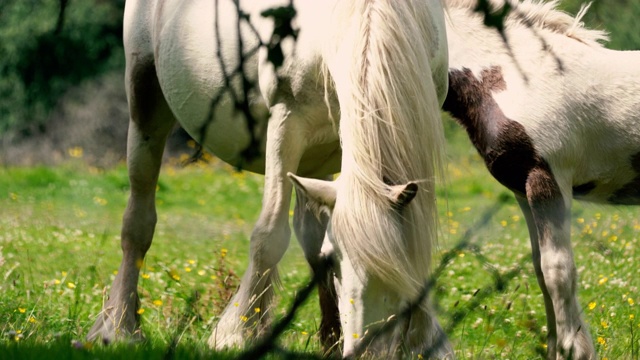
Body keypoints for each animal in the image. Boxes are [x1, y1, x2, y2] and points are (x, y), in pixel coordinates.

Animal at [87, 0, 452, 358]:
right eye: (335, 259)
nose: (365, 351)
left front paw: (425, 341)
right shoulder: (286, 122)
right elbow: (269, 236)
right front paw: (234, 334)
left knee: (310, 230)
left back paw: (330, 338)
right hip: (146, 103)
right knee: (138, 223)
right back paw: (120, 328)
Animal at [442, 0, 636, 358]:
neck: (516, 74)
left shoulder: (548, 181)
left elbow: (557, 270)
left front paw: (574, 350)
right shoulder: (524, 189)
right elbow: (539, 270)